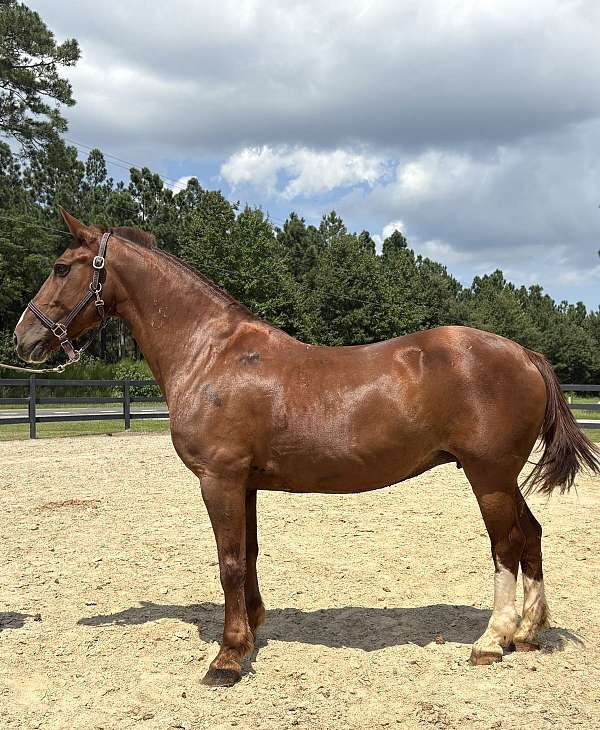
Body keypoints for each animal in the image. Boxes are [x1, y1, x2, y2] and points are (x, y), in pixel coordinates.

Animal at [14, 208, 600, 687]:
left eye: (62, 267)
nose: (22, 338)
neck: (211, 354)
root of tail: (524, 353)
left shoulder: (219, 478)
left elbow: (228, 560)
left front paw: (227, 658)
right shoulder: (245, 483)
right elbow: (248, 553)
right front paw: (252, 630)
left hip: (487, 476)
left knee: (506, 545)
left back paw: (492, 640)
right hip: (500, 477)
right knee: (531, 535)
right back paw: (528, 633)